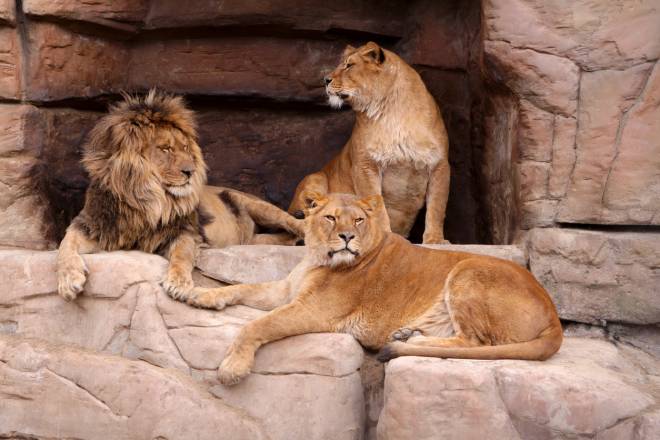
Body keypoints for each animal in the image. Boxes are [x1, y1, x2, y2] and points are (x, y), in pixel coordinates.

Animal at [57, 90, 304, 301]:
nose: (190, 171)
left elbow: (182, 254)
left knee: (295, 224)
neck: (145, 200)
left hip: (259, 206)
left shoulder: (184, 231)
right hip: (251, 239)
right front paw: (68, 281)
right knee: (279, 238)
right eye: (165, 149)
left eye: (185, 147)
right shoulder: (90, 224)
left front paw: (178, 283)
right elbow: (65, 245)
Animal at [177, 193, 563, 385]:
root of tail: (555, 317)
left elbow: (257, 325)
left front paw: (233, 367)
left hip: (467, 269)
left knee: (477, 342)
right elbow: (241, 286)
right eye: (331, 217)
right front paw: (199, 295)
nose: (347, 236)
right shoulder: (286, 291)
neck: (317, 257)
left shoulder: (313, 310)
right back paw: (409, 334)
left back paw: (408, 341)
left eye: (359, 220)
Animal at [289, 42, 451, 244]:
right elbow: (377, 207)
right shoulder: (365, 165)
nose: (325, 80)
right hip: (313, 178)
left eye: (349, 65)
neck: (393, 112)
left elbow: (437, 207)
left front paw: (435, 239)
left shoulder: (439, 164)